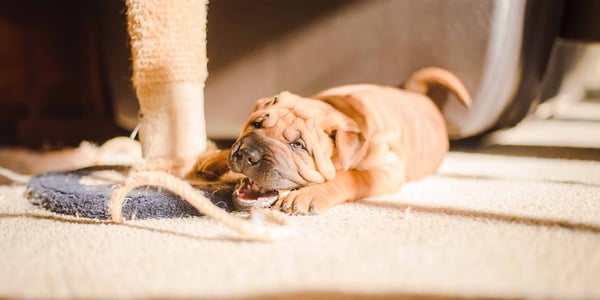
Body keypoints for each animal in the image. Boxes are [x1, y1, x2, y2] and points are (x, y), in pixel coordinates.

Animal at [196, 67, 468, 214]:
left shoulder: (387, 168)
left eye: (298, 146)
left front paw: (307, 196)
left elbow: (350, 177)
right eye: (257, 124)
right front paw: (213, 159)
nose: (247, 154)